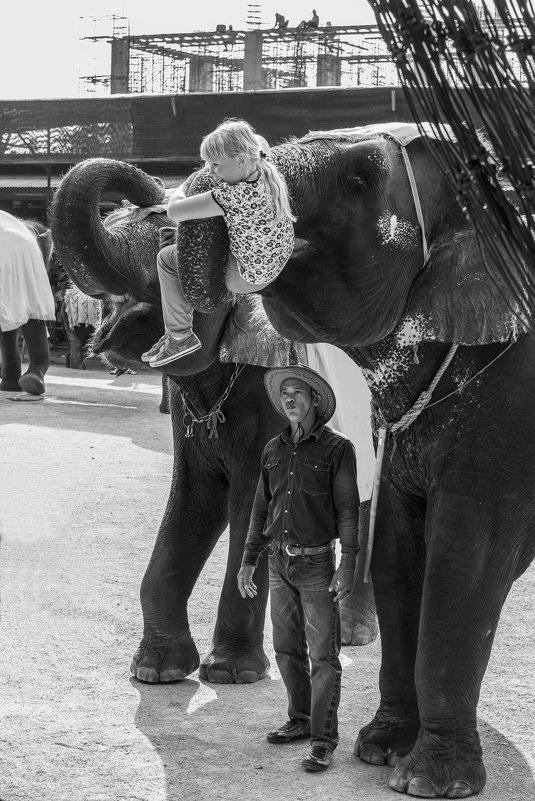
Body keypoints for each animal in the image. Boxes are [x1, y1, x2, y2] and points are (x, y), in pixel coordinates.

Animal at [49, 158, 376, 688]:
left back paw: (351, 632)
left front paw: (231, 673)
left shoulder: (270, 402)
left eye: (168, 236)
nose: (155, 189)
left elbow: (251, 507)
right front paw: (156, 670)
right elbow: (194, 498)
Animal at [165, 122, 535, 796]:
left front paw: (425, 782)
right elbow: (394, 551)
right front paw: (379, 751)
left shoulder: (516, 410)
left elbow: (466, 559)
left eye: (362, 178)